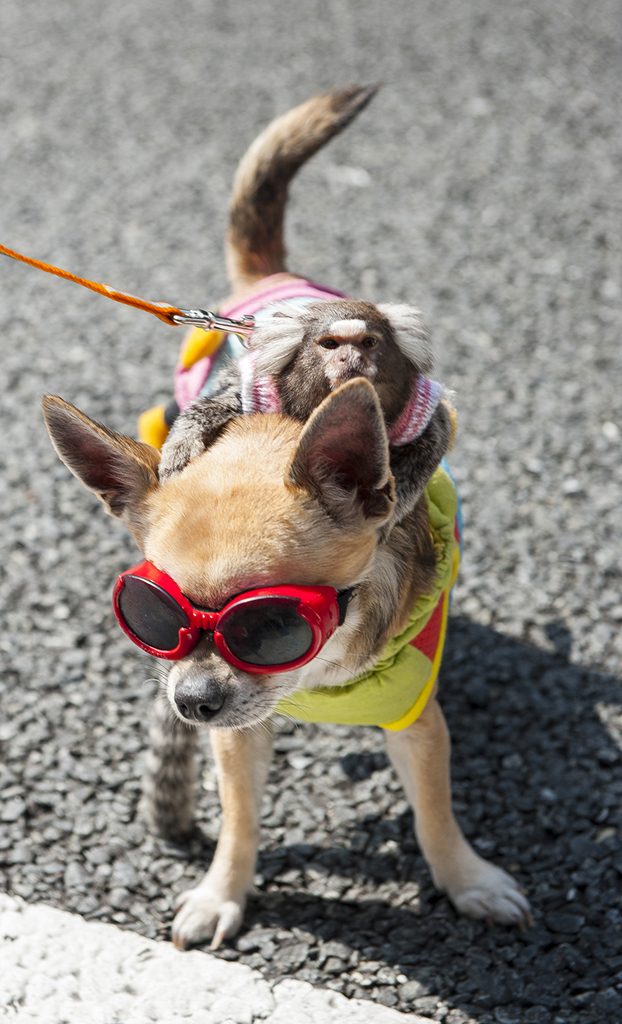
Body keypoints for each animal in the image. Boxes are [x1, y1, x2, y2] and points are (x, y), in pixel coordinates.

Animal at [42, 88, 528, 950]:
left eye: (268, 623)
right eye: (152, 611)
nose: (191, 700)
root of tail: (276, 280)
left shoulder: (416, 720)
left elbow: (435, 813)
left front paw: (467, 881)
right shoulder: (236, 734)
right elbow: (240, 818)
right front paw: (223, 893)